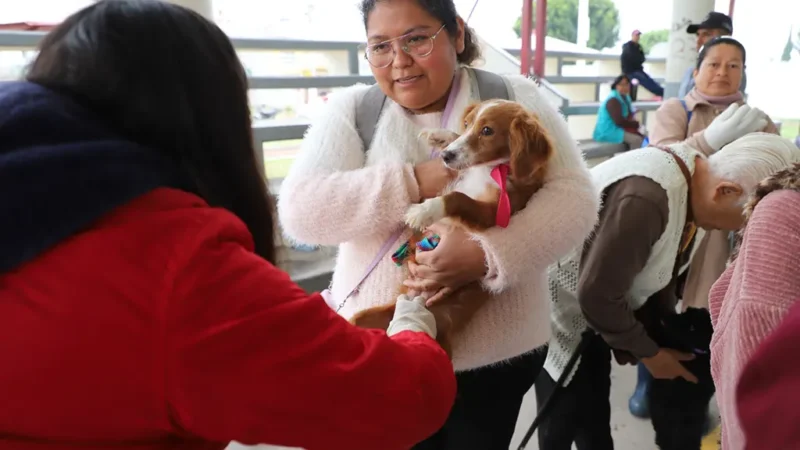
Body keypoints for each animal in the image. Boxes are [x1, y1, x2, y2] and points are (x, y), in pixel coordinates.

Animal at [350, 99, 556, 356]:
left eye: (487, 130)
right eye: (467, 123)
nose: (446, 156)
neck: (491, 169)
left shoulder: (495, 214)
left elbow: (459, 197)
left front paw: (424, 210)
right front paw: (441, 135)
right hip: (363, 319)